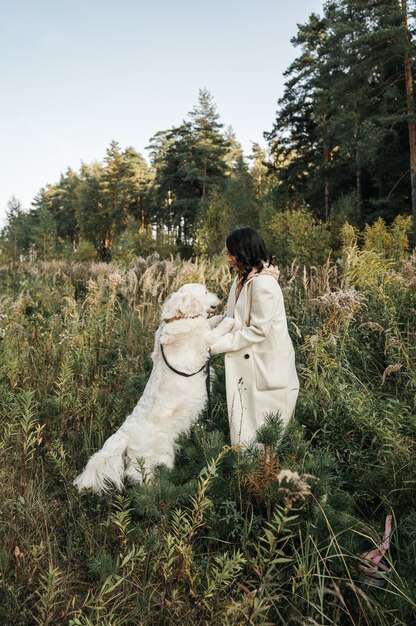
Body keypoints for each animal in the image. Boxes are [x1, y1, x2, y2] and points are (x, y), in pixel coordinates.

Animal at [72, 282, 232, 492]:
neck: (177, 318)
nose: (219, 295)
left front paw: (220, 316)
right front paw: (230, 319)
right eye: (205, 292)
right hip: (156, 459)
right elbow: (217, 329)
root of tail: (124, 434)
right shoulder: (206, 341)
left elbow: (211, 321)